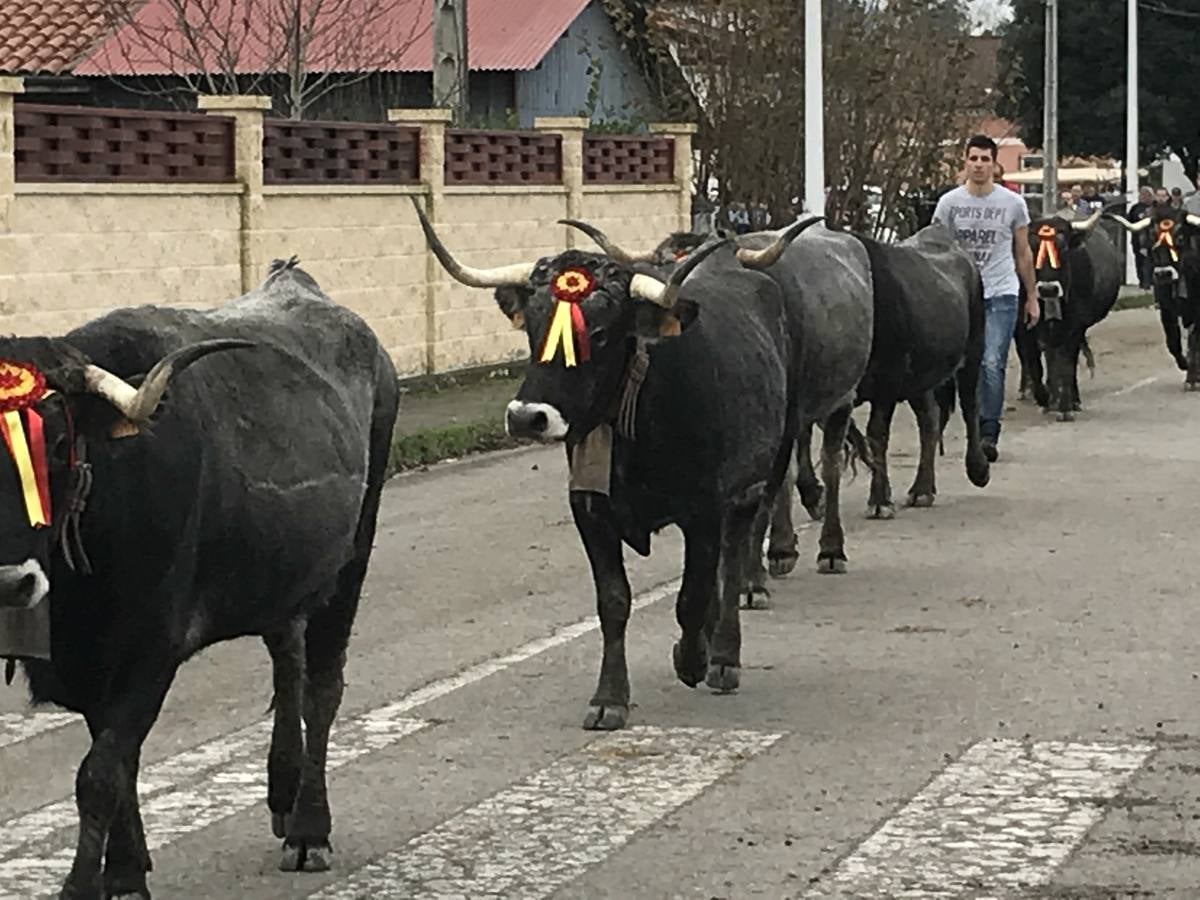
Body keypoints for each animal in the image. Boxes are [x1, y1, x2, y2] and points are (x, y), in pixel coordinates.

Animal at [0, 255, 400, 900]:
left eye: (59, 444)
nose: (10, 582)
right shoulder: (95, 668)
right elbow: (120, 764)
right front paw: (126, 867)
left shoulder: (150, 649)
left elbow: (100, 774)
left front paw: (90, 882)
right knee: (288, 656)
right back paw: (282, 790)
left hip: (352, 558)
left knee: (323, 688)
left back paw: (308, 829)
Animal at [1012, 211, 1123, 422]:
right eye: (1032, 248)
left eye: (1062, 248)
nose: (1048, 289)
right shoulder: (1025, 328)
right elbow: (1034, 365)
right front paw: (1045, 398)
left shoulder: (1074, 327)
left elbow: (1066, 364)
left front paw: (1065, 407)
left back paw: (1072, 399)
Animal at [1104, 207, 1200, 388]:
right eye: (1152, 237)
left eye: (1180, 237)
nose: (1163, 274)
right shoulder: (1166, 309)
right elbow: (1172, 341)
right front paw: (1184, 364)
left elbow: (1194, 340)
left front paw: (1192, 379)